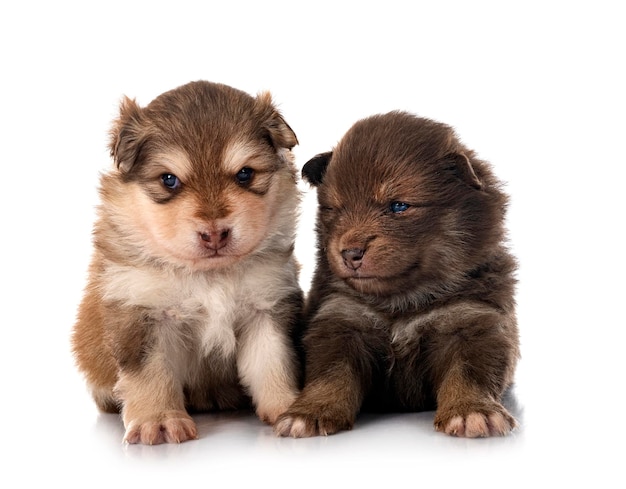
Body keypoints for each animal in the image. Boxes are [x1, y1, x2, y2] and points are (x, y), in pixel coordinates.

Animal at [72, 79, 304, 442]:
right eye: (169, 180)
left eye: (245, 174)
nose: (215, 234)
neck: (209, 276)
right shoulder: (143, 314)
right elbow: (151, 374)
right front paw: (158, 420)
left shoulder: (265, 308)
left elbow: (273, 362)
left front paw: (290, 408)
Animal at [274, 111, 516, 438]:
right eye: (335, 208)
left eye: (399, 206)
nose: (350, 253)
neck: (401, 300)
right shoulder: (341, 321)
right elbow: (330, 375)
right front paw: (309, 412)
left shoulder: (472, 322)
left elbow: (469, 373)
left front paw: (472, 411)